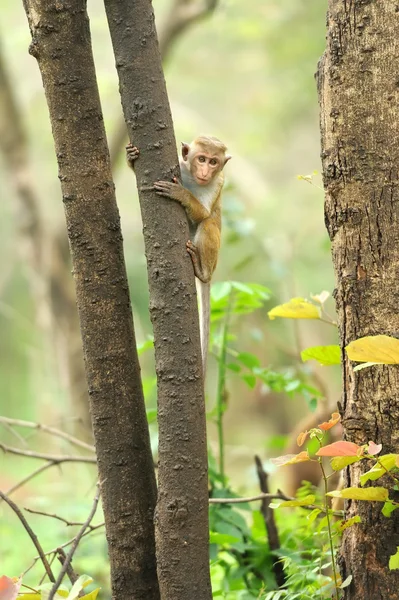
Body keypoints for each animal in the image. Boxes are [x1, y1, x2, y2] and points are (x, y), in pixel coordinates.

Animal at [126, 137, 230, 376]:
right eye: (201, 159)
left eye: (213, 162)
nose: (205, 171)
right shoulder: (180, 167)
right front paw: (131, 156)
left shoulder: (218, 182)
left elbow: (204, 214)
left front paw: (182, 194)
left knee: (208, 223)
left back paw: (201, 272)